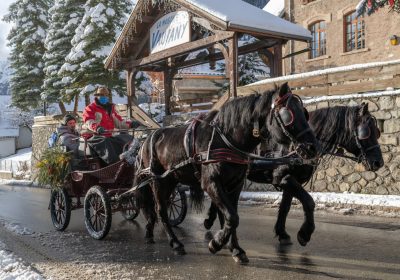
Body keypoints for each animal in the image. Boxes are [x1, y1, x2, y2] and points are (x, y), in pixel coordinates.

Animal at [136, 82, 318, 262]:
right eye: (288, 115)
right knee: (161, 211)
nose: (312, 147)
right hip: (158, 181)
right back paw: (175, 243)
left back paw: (150, 232)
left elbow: (233, 214)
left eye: (305, 113)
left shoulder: (235, 184)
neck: (226, 139)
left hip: (171, 180)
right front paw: (216, 243)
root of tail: (148, 138)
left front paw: (235, 248)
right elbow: (232, 216)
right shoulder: (211, 183)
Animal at [205, 101, 382, 246]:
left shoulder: (290, 182)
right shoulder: (283, 178)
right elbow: (309, 201)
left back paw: (210, 220)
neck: (297, 147)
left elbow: (285, 207)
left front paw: (282, 233)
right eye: (366, 131)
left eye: (377, 131)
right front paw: (305, 233)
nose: (379, 162)